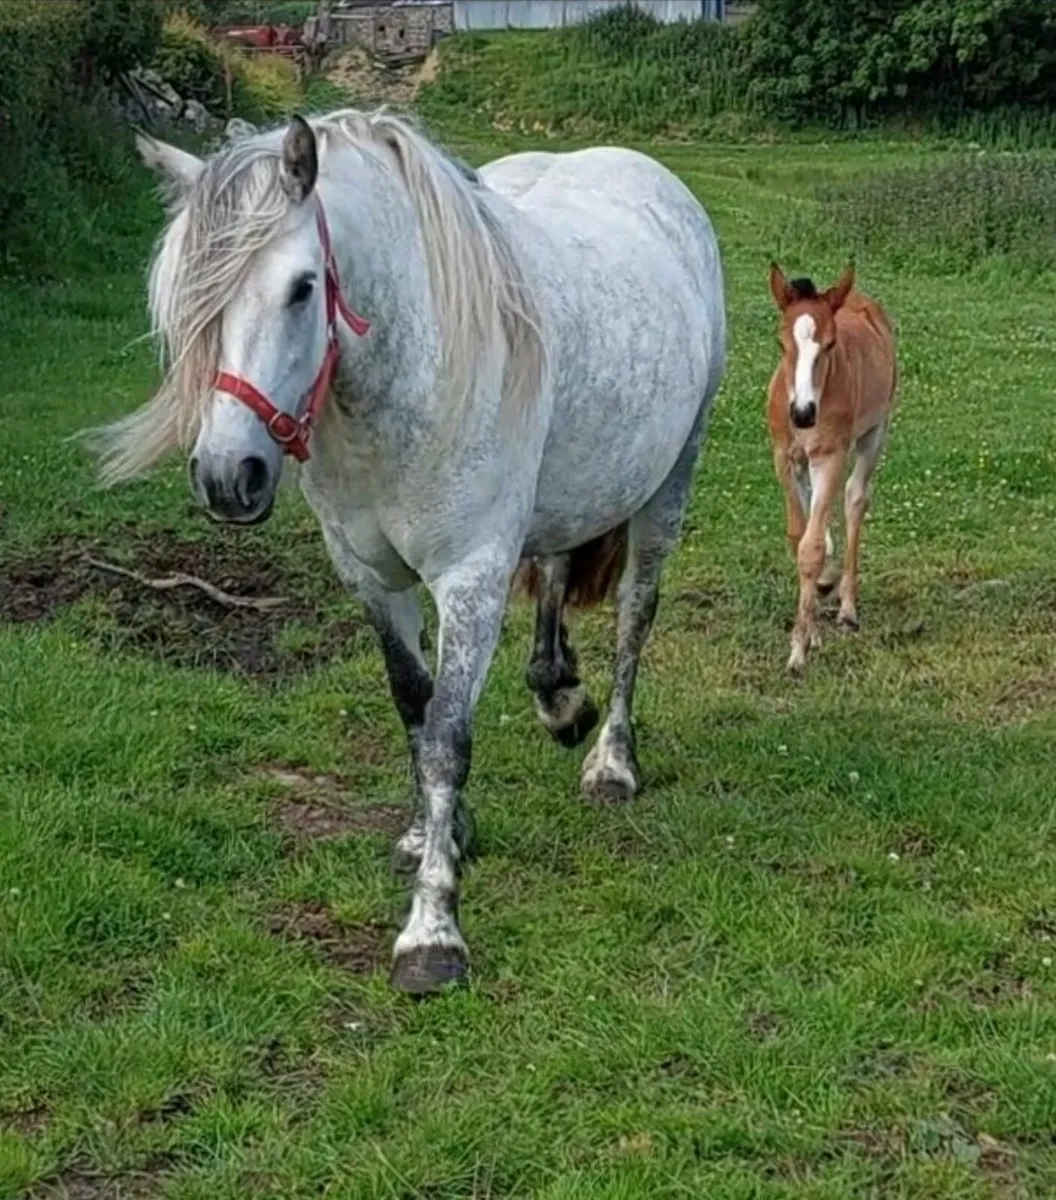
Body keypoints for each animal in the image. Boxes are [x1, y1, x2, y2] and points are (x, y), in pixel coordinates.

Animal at [88, 110, 727, 994]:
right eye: (184, 297)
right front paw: (436, 836)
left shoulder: (470, 578)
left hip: (670, 481)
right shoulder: (372, 580)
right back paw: (561, 699)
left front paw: (433, 931)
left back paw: (611, 762)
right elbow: (413, 709)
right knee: (557, 568)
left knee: (636, 613)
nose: (227, 476)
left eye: (302, 287)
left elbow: (447, 740)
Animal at [766, 263, 897, 674]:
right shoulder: (785, 456)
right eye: (781, 344)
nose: (803, 414)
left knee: (855, 498)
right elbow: (800, 535)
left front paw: (798, 651)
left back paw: (847, 609)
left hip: (875, 432)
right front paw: (811, 630)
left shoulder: (831, 456)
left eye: (830, 344)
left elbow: (810, 546)